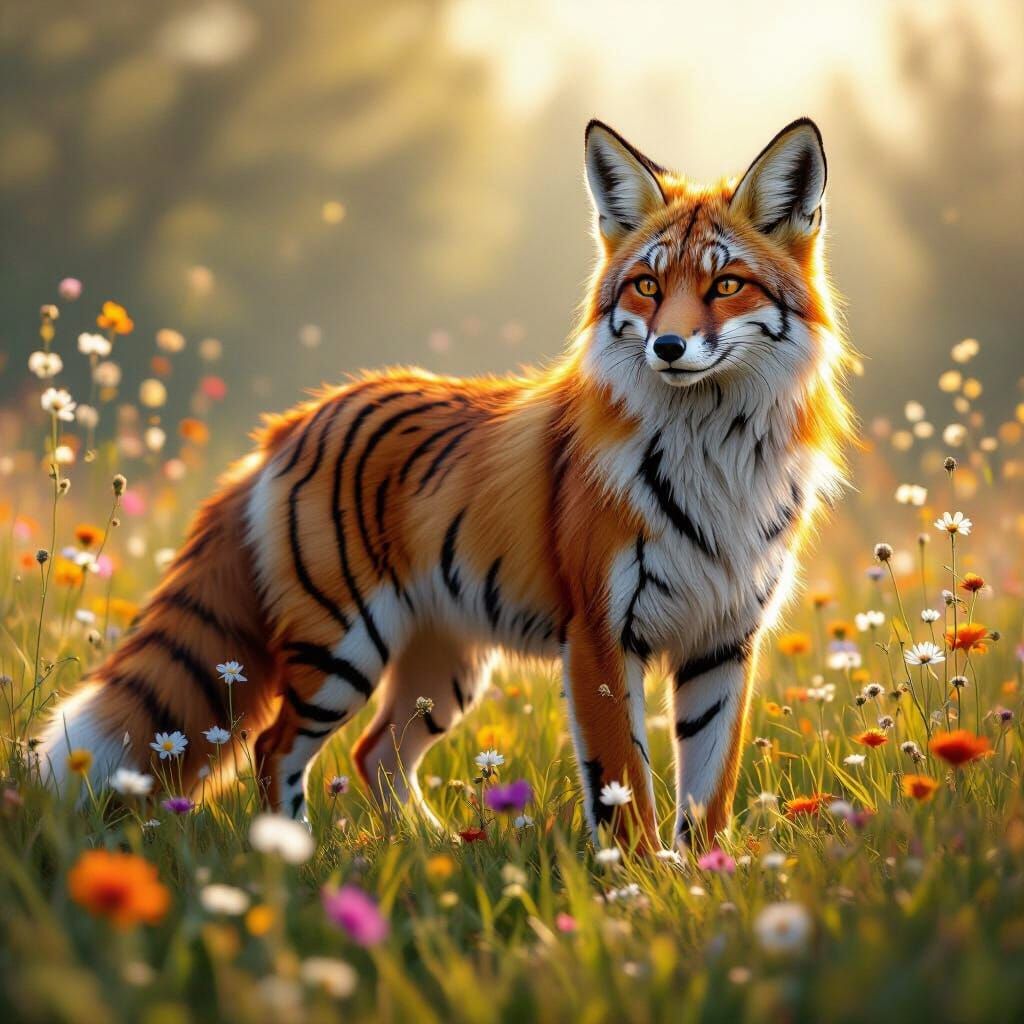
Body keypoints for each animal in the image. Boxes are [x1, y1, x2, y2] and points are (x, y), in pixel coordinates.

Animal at [38, 117, 852, 852]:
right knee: (276, 750)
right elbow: (625, 797)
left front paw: (704, 882)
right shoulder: (599, 638)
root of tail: (298, 418)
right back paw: (295, 859)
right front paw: (640, 890)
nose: (669, 346)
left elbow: (709, 798)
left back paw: (437, 848)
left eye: (726, 284)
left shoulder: (724, 641)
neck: (713, 463)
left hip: (446, 671)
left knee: (377, 756)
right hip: (340, 652)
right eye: (649, 286)